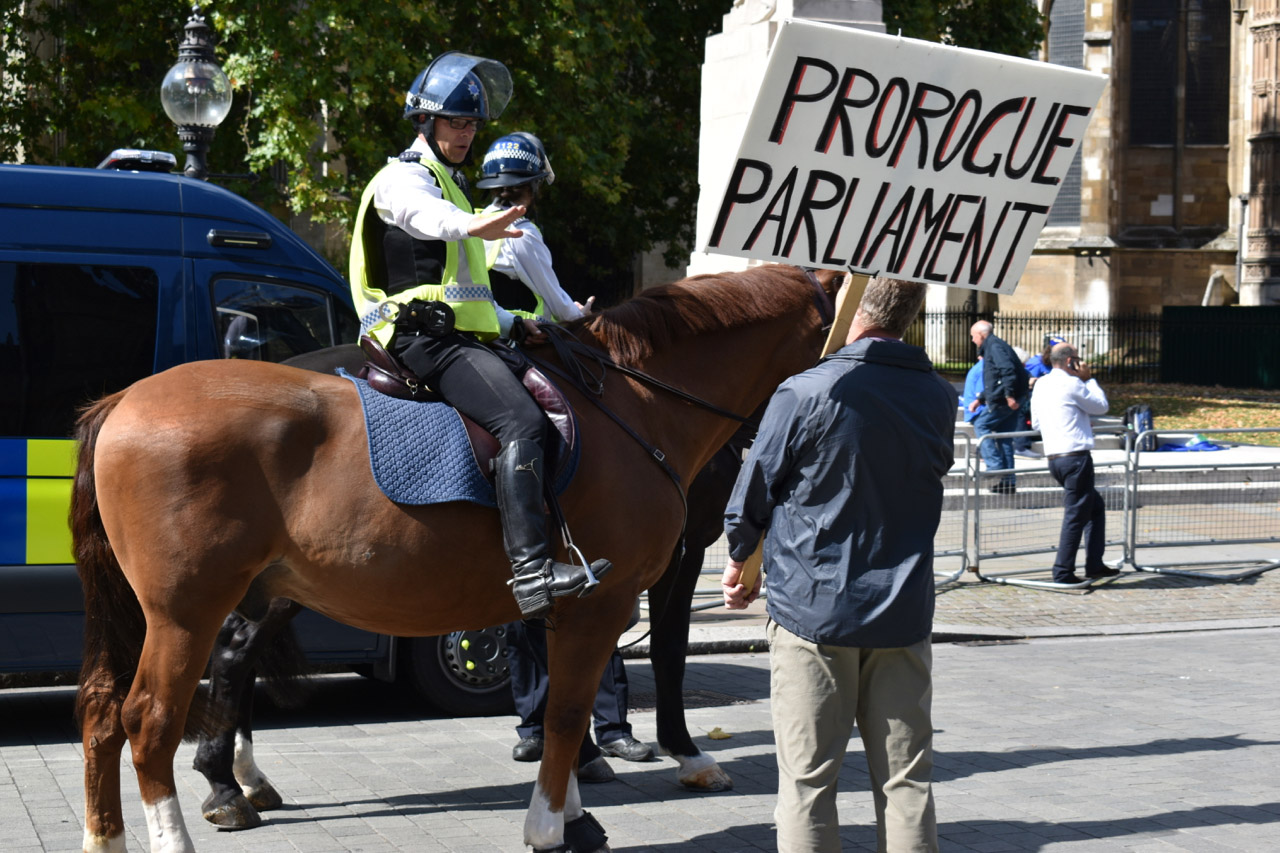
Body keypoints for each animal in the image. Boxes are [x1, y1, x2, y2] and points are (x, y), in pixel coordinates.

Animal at [72, 262, 839, 845]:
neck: (635, 405)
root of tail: (121, 402)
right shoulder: (610, 600)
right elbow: (572, 708)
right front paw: (551, 825)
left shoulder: (570, 608)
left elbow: (561, 709)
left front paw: (574, 814)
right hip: (184, 611)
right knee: (150, 720)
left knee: (109, 710)